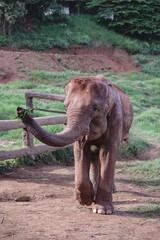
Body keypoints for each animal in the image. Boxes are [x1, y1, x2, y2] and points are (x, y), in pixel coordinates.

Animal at [16, 74, 133, 215]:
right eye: (65, 107)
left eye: (95, 108)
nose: (20, 109)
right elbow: (80, 150)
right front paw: (85, 201)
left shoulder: (116, 117)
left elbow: (108, 152)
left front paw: (102, 210)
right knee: (94, 156)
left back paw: (112, 191)